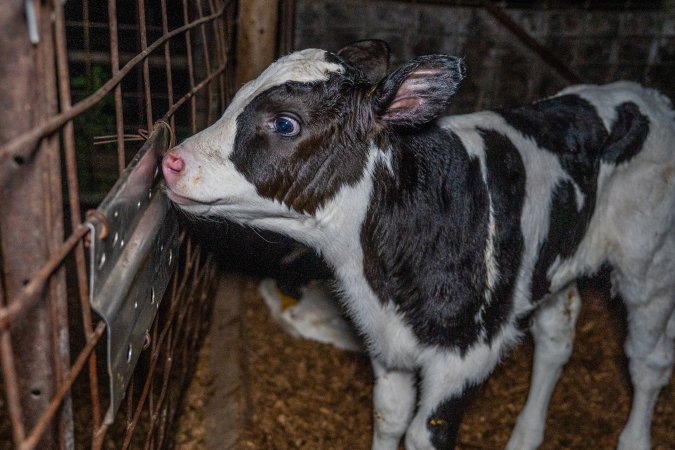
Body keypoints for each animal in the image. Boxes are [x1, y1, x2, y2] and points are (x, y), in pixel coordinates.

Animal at [161, 40, 675, 449]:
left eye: (285, 123)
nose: (170, 161)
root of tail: (649, 96)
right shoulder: (388, 347)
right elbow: (389, 419)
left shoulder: (468, 354)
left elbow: (423, 433)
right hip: (553, 264)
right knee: (556, 338)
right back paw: (526, 436)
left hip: (650, 270)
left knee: (647, 361)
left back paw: (633, 438)